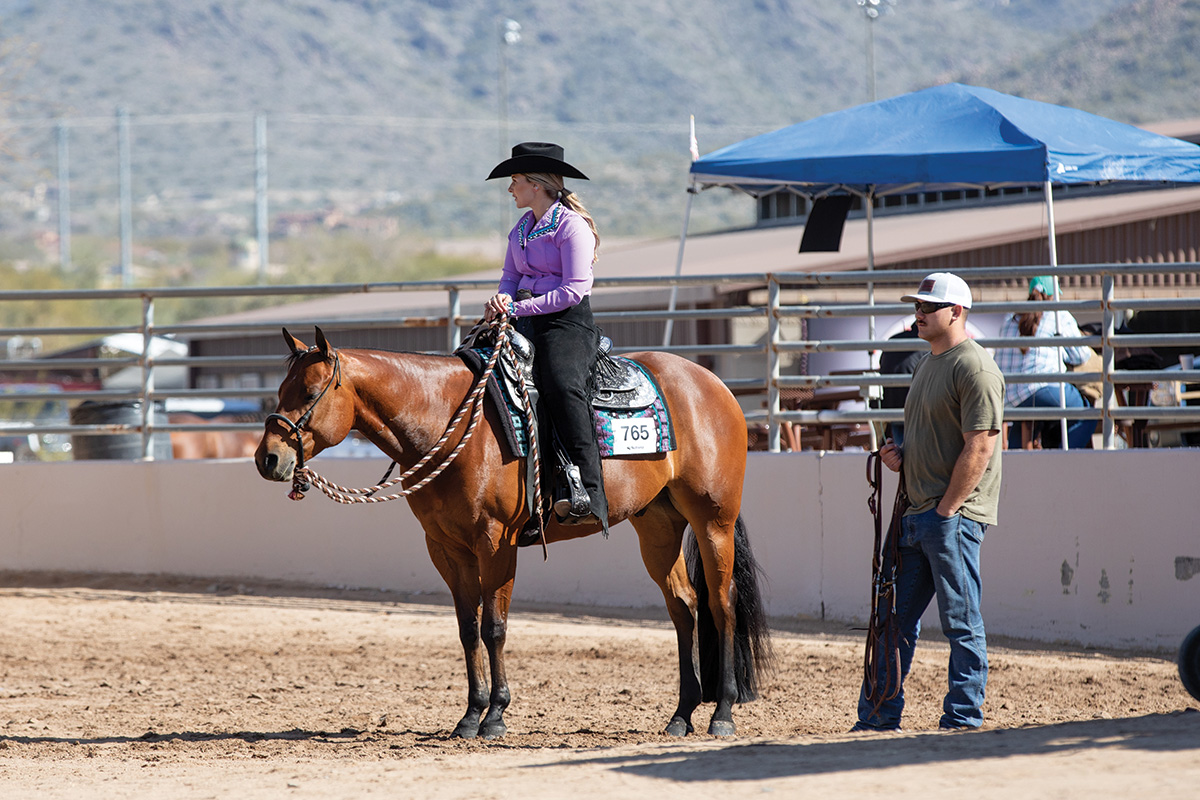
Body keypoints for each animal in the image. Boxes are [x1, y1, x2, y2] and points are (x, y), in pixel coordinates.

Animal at [256, 326, 772, 738]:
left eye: (309, 391)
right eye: (281, 389)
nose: (268, 458)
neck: (453, 421)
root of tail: (714, 385)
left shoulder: (495, 543)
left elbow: (495, 626)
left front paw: (495, 716)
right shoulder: (447, 548)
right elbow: (468, 629)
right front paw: (469, 715)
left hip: (713, 521)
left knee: (722, 604)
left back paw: (722, 713)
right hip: (658, 526)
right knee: (684, 607)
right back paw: (682, 715)